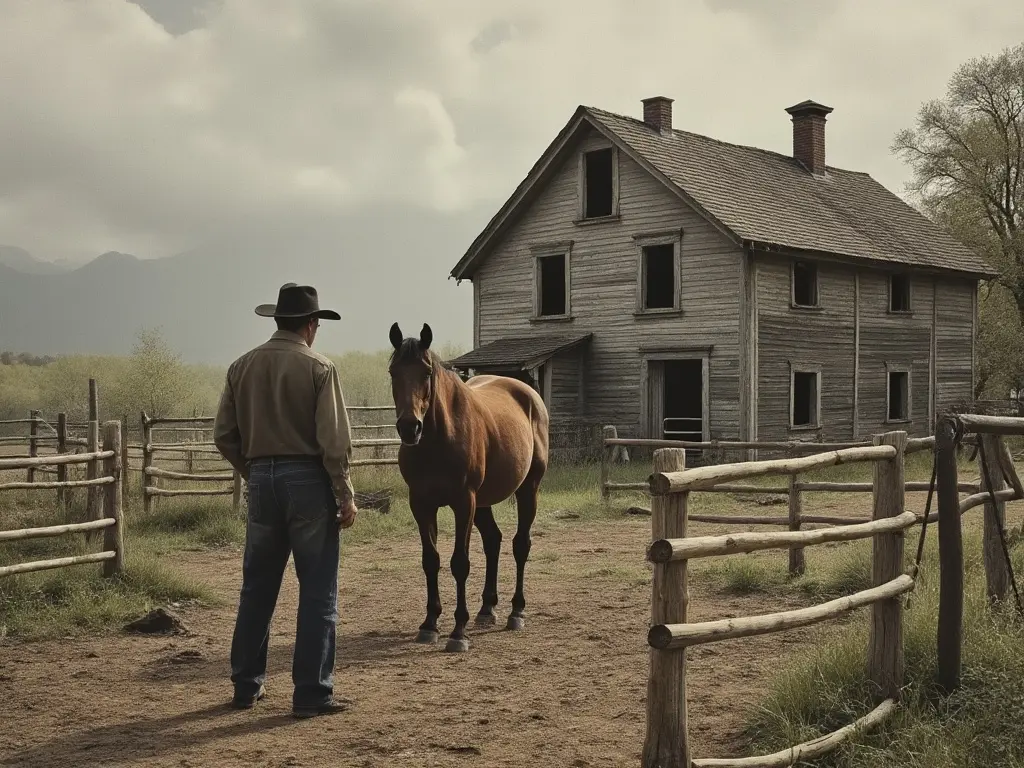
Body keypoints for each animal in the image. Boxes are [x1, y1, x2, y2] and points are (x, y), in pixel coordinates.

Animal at [385, 321, 548, 651]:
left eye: (426, 372)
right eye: (393, 372)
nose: (410, 427)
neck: (438, 439)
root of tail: (529, 395)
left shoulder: (463, 502)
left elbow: (459, 562)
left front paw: (458, 631)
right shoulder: (421, 503)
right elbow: (431, 560)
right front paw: (430, 624)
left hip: (527, 490)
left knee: (520, 545)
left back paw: (516, 612)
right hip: (483, 503)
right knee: (493, 541)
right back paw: (487, 609)